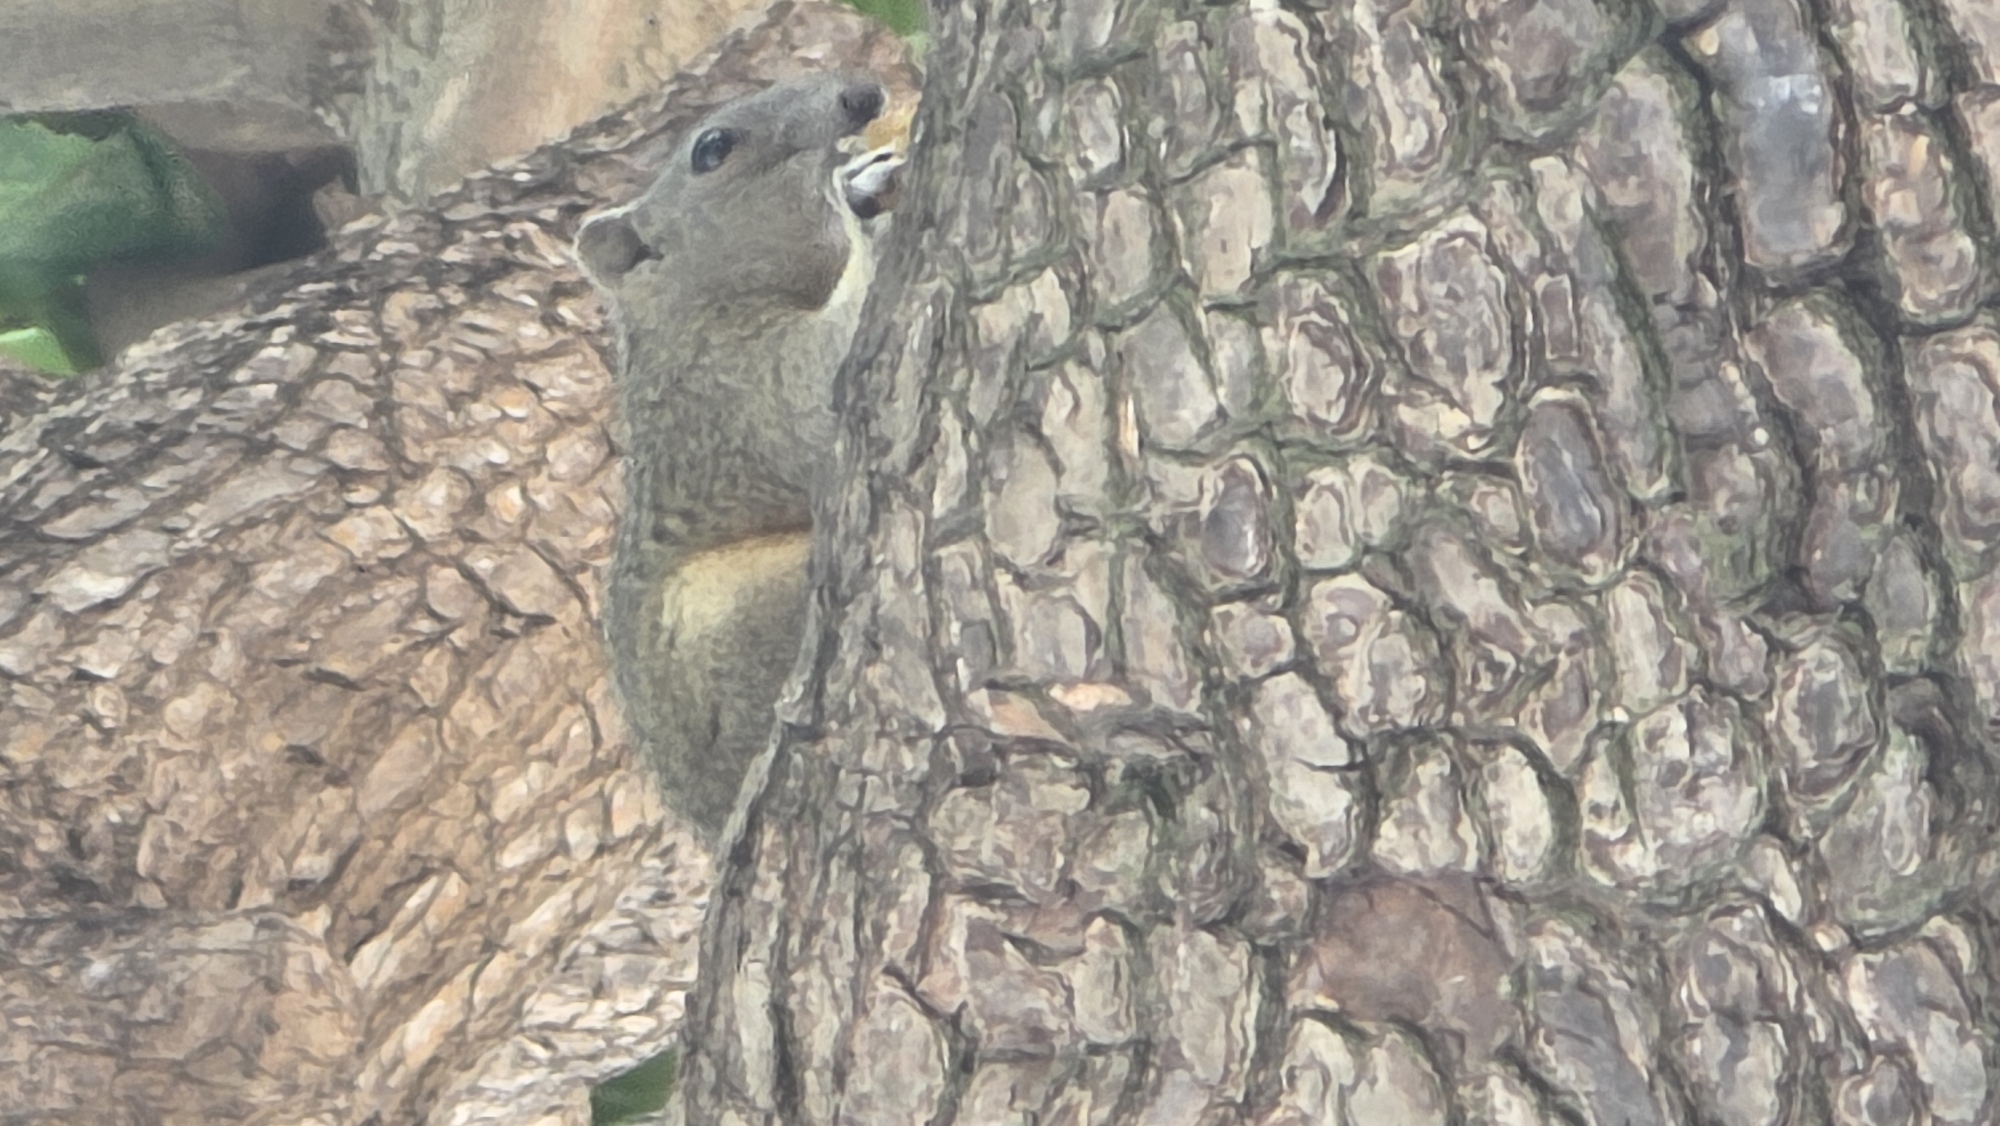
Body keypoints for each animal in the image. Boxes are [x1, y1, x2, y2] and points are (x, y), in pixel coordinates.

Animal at [576, 74, 906, 836]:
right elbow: (827, 386)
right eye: (713, 148)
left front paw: (867, 181)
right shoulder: (751, 384)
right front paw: (857, 198)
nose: (860, 94)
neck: (697, 305)